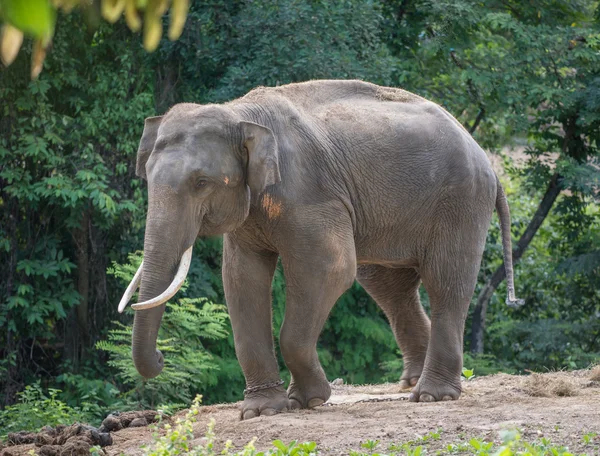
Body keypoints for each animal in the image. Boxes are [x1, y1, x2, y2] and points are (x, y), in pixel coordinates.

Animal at [117, 79, 520, 420]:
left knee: (445, 282)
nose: (160, 357)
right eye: (147, 177)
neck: (240, 114)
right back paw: (410, 383)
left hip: (460, 201)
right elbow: (242, 278)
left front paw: (309, 400)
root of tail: (481, 153)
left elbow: (330, 268)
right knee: (389, 287)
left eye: (201, 182)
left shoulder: (309, 193)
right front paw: (262, 411)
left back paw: (432, 395)